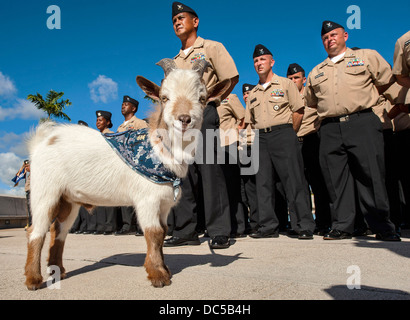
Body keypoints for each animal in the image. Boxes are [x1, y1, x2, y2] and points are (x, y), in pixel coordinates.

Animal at [24, 58, 232, 290]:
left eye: (202, 98)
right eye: (164, 97)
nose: (184, 119)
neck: (157, 150)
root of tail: (42, 141)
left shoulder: (164, 203)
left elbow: (163, 232)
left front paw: (163, 269)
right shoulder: (147, 199)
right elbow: (153, 232)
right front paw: (158, 275)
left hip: (69, 199)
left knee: (58, 231)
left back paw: (57, 271)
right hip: (45, 191)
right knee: (36, 231)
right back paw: (33, 280)